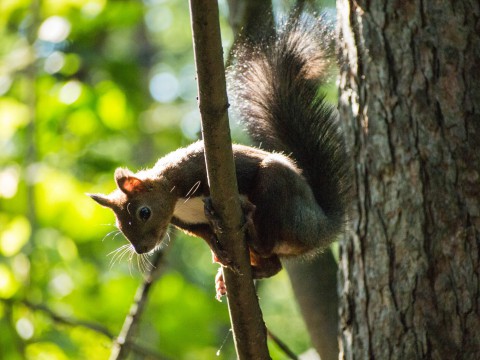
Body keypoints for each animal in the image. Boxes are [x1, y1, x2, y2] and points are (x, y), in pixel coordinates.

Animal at [89, 14, 348, 300]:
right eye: (120, 226)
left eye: (144, 212)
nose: (141, 249)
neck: (173, 191)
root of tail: (322, 225)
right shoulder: (186, 221)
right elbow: (204, 234)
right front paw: (217, 250)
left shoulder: (197, 171)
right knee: (273, 264)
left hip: (282, 198)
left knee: (266, 239)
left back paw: (251, 227)